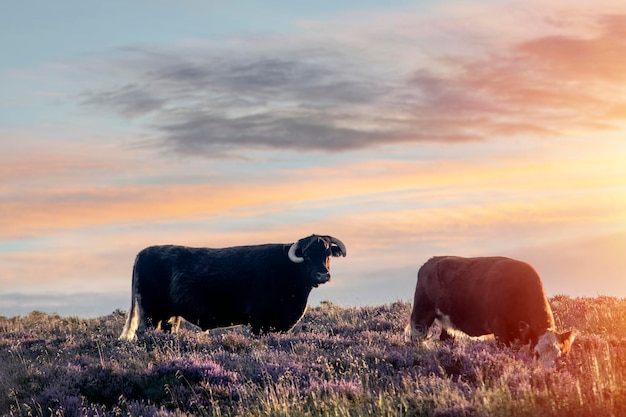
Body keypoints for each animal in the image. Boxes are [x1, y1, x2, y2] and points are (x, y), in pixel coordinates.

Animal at [119, 234, 344, 338]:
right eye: (307, 256)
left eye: (327, 254)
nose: (323, 274)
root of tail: (143, 253)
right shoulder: (259, 323)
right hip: (151, 315)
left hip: (170, 317)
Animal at [404, 255, 576, 366]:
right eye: (536, 353)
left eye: (559, 356)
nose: (547, 374)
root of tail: (429, 262)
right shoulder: (500, 330)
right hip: (421, 315)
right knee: (416, 339)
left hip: (448, 322)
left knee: (446, 339)